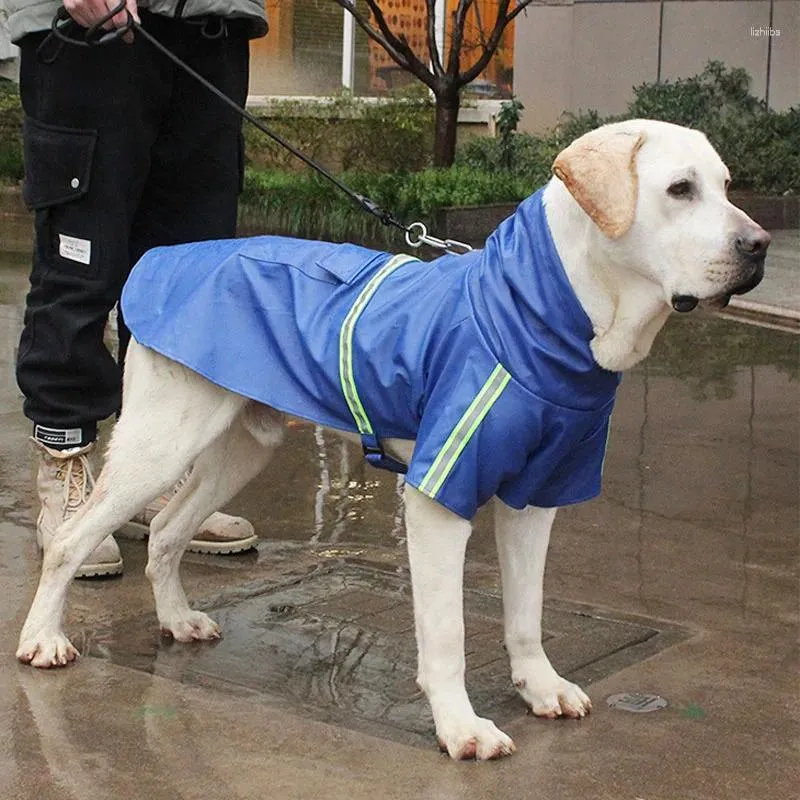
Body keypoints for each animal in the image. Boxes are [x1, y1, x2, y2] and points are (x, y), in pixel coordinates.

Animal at [15, 122, 768, 760]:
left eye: (729, 185)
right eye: (680, 189)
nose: (759, 246)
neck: (543, 313)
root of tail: (162, 260)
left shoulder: (536, 497)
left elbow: (526, 613)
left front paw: (540, 686)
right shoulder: (440, 497)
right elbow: (447, 632)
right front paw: (461, 728)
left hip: (240, 446)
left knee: (170, 529)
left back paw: (176, 619)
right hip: (160, 442)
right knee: (73, 539)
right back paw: (43, 637)